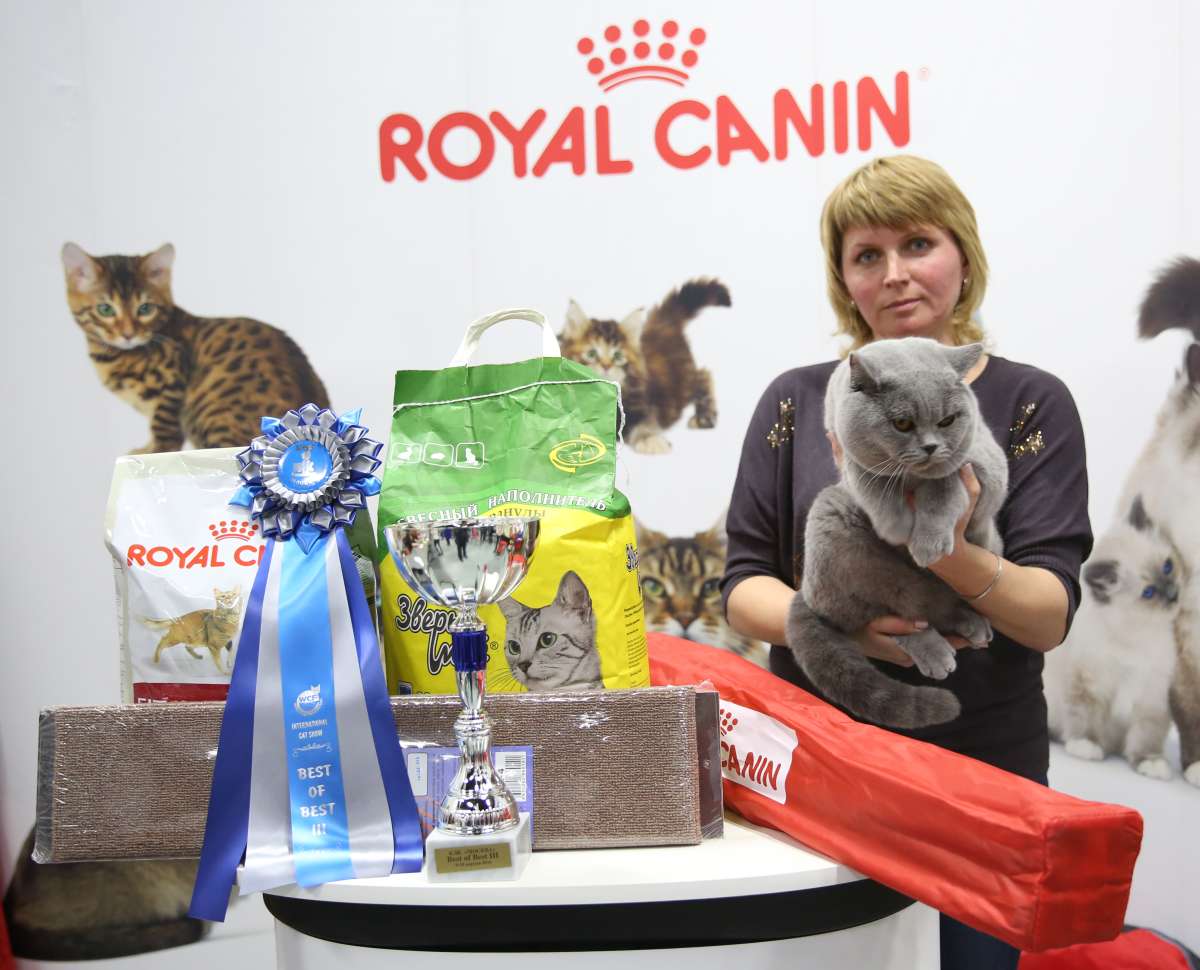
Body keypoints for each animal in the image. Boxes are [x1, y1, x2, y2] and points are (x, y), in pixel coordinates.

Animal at [62, 242, 329, 454]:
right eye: (105, 309)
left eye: (145, 308)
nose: (128, 334)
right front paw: (147, 448)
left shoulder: (170, 379)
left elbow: (164, 429)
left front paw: (155, 451)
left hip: (214, 414)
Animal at [558, 278, 730, 454]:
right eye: (591, 354)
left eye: (618, 356)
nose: (606, 366)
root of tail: (661, 325)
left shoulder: (643, 408)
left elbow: (644, 425)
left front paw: (650, 440)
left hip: (684, 384)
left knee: (704, 374)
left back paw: (704, 417)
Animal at [786, 338, 1009, 729]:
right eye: (902, 423)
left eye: (947, 421)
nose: (931, 446)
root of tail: (808, 596)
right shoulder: (851, 458)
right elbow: (873, 480)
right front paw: (896, 525)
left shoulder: (984, 463)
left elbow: (944, 484)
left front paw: (927, 544)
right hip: (833, 523)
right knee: (894, 615)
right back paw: (937, 649)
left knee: (935, 608)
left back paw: (972, 626)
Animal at [1044, 496, 1182, 779]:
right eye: (1149, 593)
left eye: (1167, 566)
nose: (1173, 595)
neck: (1138, 634)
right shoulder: (1088, 681)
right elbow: (1085, 716)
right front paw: (1086, 747)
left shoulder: (1152, 694)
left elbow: (1147, 736)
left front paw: (1150, 763)